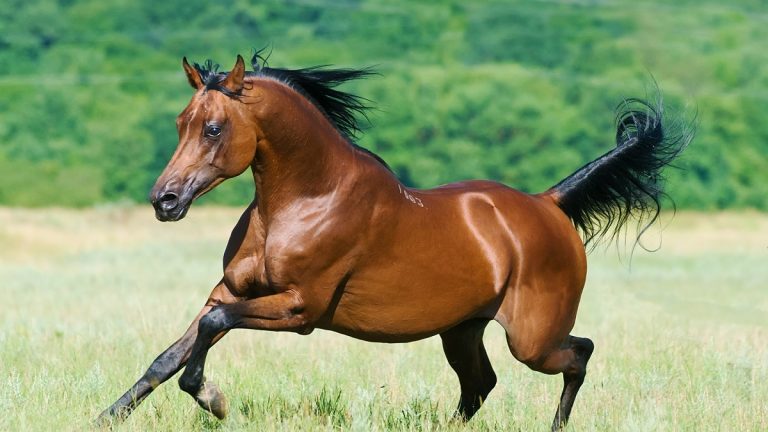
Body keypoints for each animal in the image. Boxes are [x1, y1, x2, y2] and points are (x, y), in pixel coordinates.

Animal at [97, 52, 691, 430]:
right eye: (182, 122)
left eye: (214, 128)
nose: (164, 201)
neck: (306, 198)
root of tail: (548, 204)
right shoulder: (229, 291)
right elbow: (169, 356)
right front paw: (107, 415)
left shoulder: (299, 309)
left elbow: (207, 336)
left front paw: (213, 400)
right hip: (462, 330)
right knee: (481, 385)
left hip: (533, 338)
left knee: (578, 354)